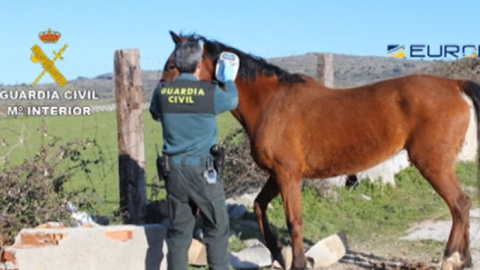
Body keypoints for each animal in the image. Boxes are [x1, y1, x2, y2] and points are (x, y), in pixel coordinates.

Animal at [161, 31, 480, 270]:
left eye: (173, 64)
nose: (161, 98)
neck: (270, 102)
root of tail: (455, 85)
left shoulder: (288, 174)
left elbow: (294, 220)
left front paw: (298, 262)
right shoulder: (278, 174)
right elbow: (259, 206)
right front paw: (278, 252)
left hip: (432, 164)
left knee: (460, 204)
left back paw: (452, 258)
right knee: (462, 205)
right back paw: (463, 259)